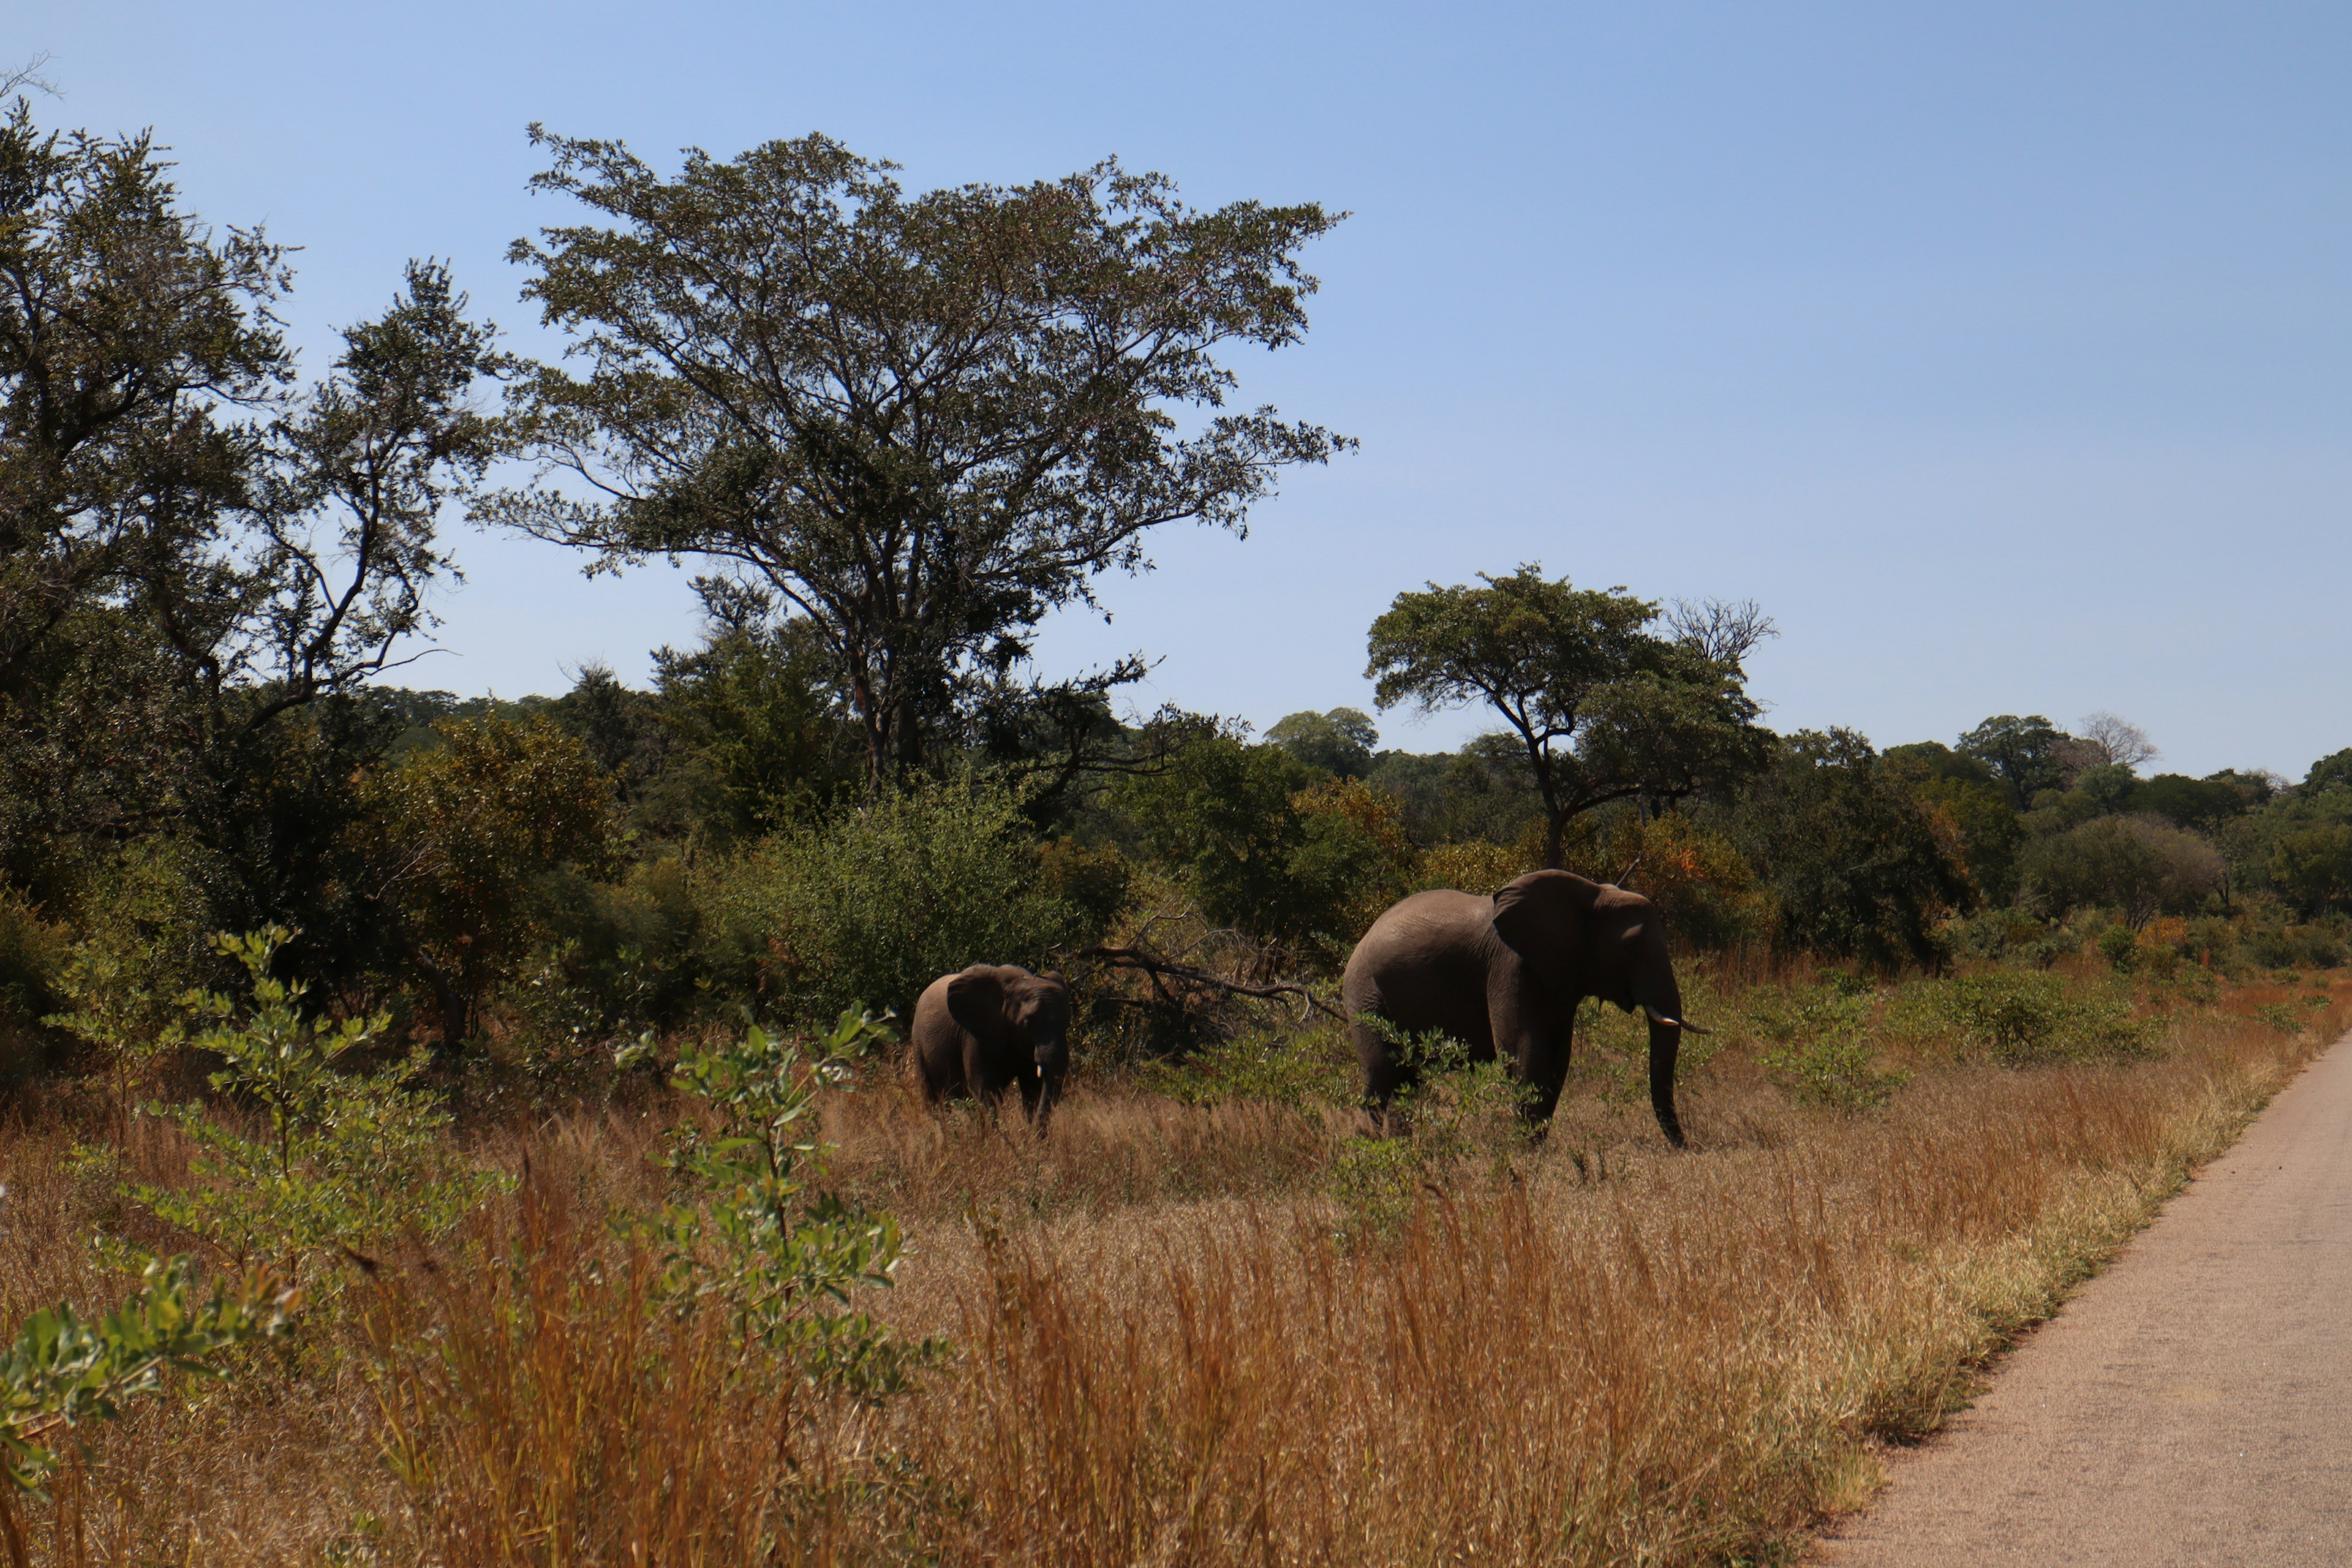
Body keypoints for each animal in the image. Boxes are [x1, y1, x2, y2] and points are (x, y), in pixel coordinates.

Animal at [908, 963, 1077, 1123]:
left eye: (1067, 1024)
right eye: (1027, 1024)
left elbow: (1032, 1087)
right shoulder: (975, 1033)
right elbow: (984, 1088)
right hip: (918, 1043)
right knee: (934, 1104)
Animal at [1345, 865, 1693, 1147]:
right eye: (1631, 948)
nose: (1686, 1146)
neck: (1590, 894)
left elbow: (1558, 1057)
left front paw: (1535, 1146)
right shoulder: (1510, 965)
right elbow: (1523, 1048)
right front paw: (1527, 1150)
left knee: (1406, 1081)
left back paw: (1401, 1146)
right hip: (1366, 998)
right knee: (1381, 1074)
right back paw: (1371, 1143)